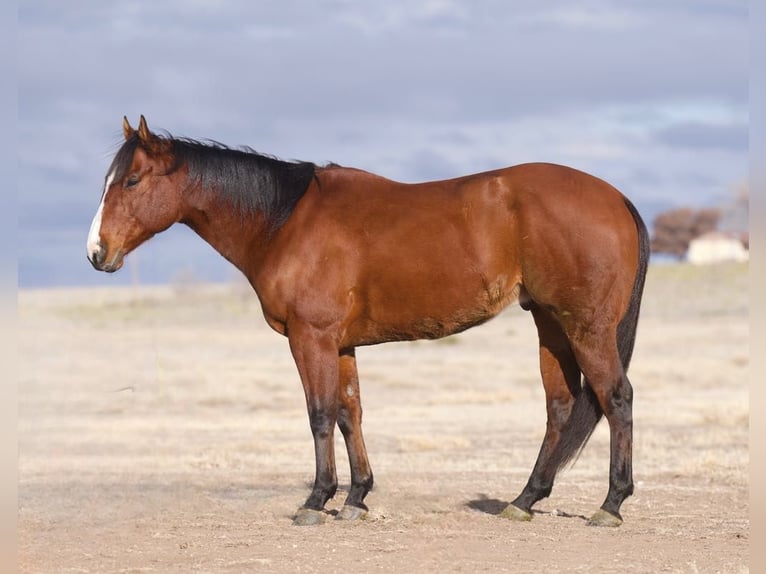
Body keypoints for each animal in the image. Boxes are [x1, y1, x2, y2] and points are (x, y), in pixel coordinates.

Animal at [87, 115, 649, 527]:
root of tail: (616, 197)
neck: (285, 222)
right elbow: (348, 413)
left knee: (616, 397)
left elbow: (318, 414)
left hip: (586, 328)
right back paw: (525, 499)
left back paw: (610, 504)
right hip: (551, 326)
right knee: (562, 405)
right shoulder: (340, 345)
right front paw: (357, 496)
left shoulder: (310, 338)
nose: (97, 252)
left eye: (132, 180)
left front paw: (317, 500)